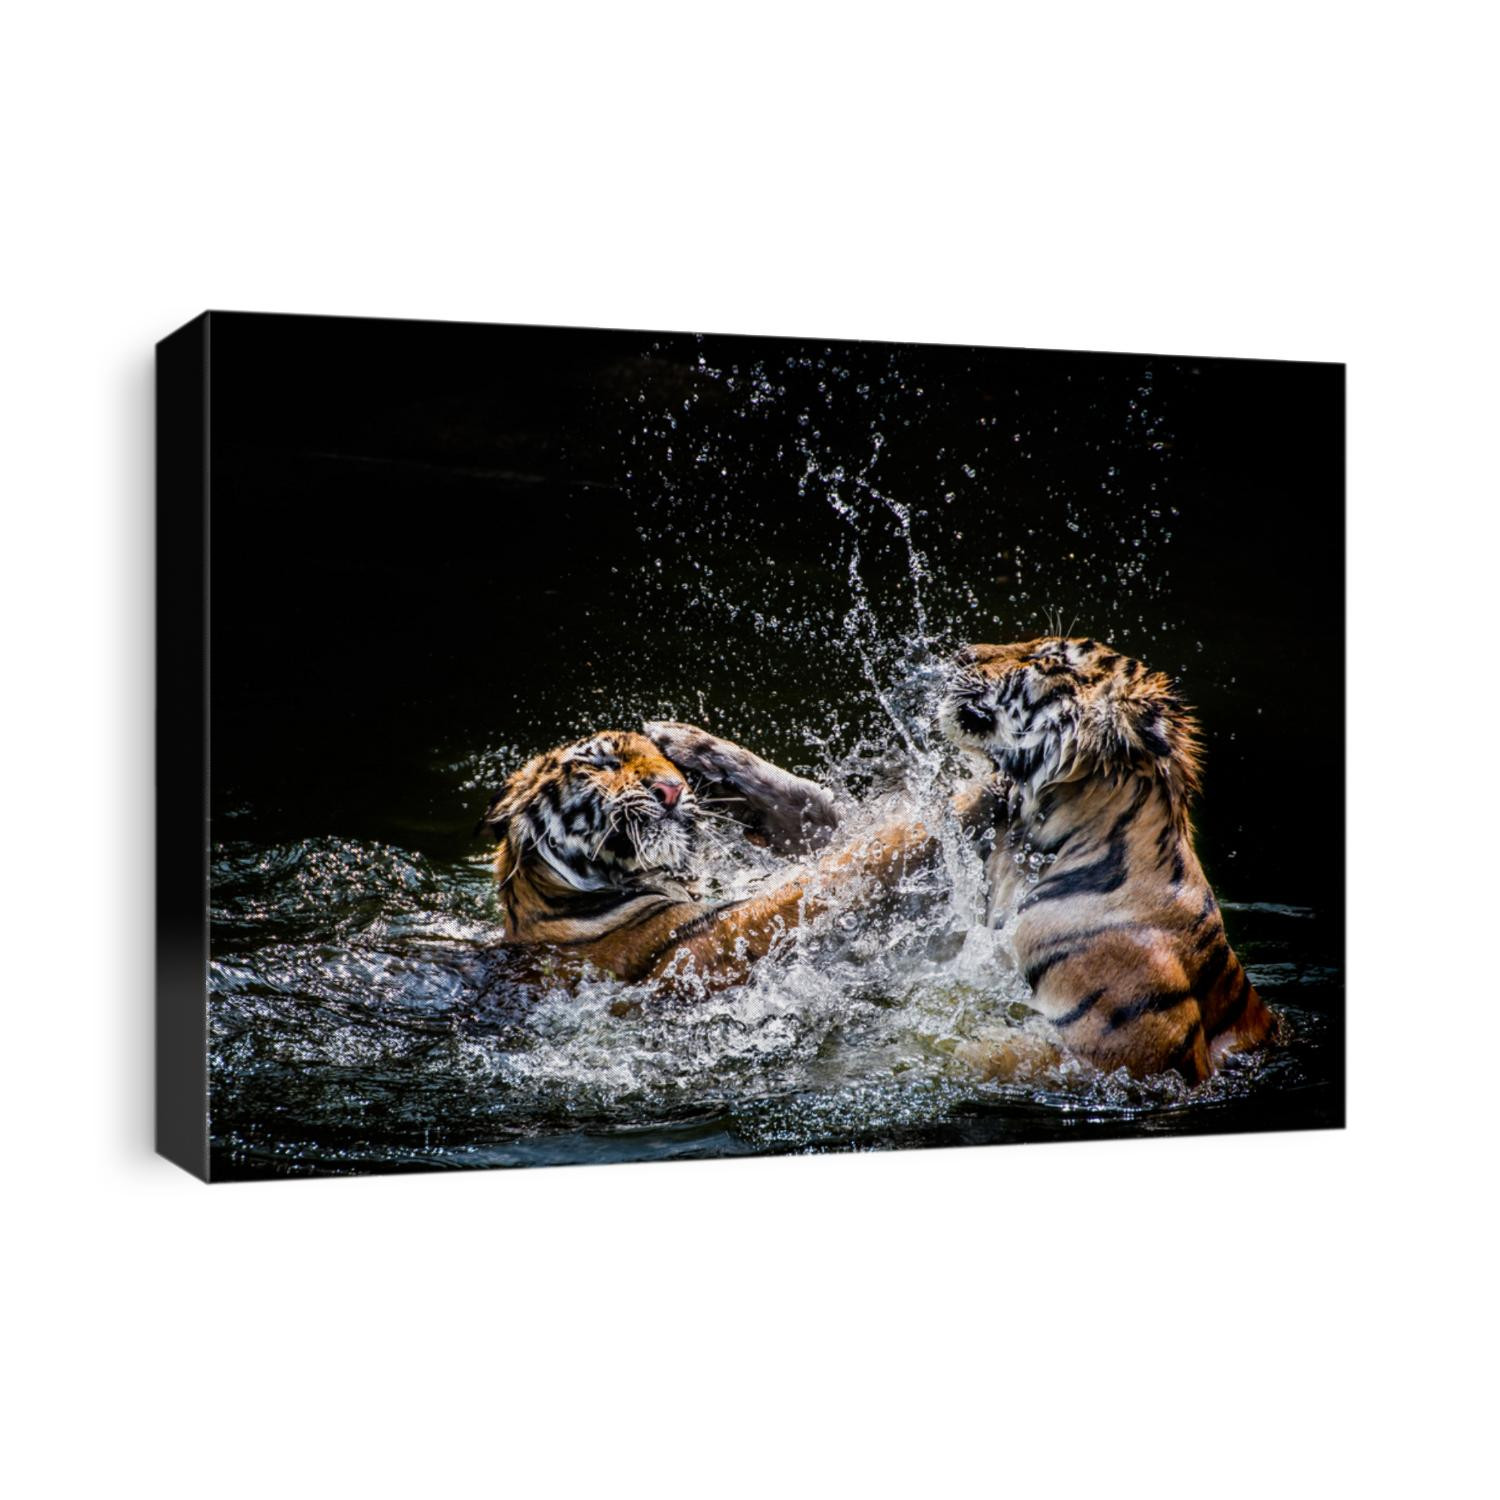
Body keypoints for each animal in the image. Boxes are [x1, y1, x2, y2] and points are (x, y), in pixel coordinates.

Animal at [479, 721, 997, 990]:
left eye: (665, 764)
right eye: (602, 764)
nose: (672, 789)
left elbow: (822, 818)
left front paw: (691, 743)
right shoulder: (726, 934)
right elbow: (853, 863)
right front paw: (975, 793)